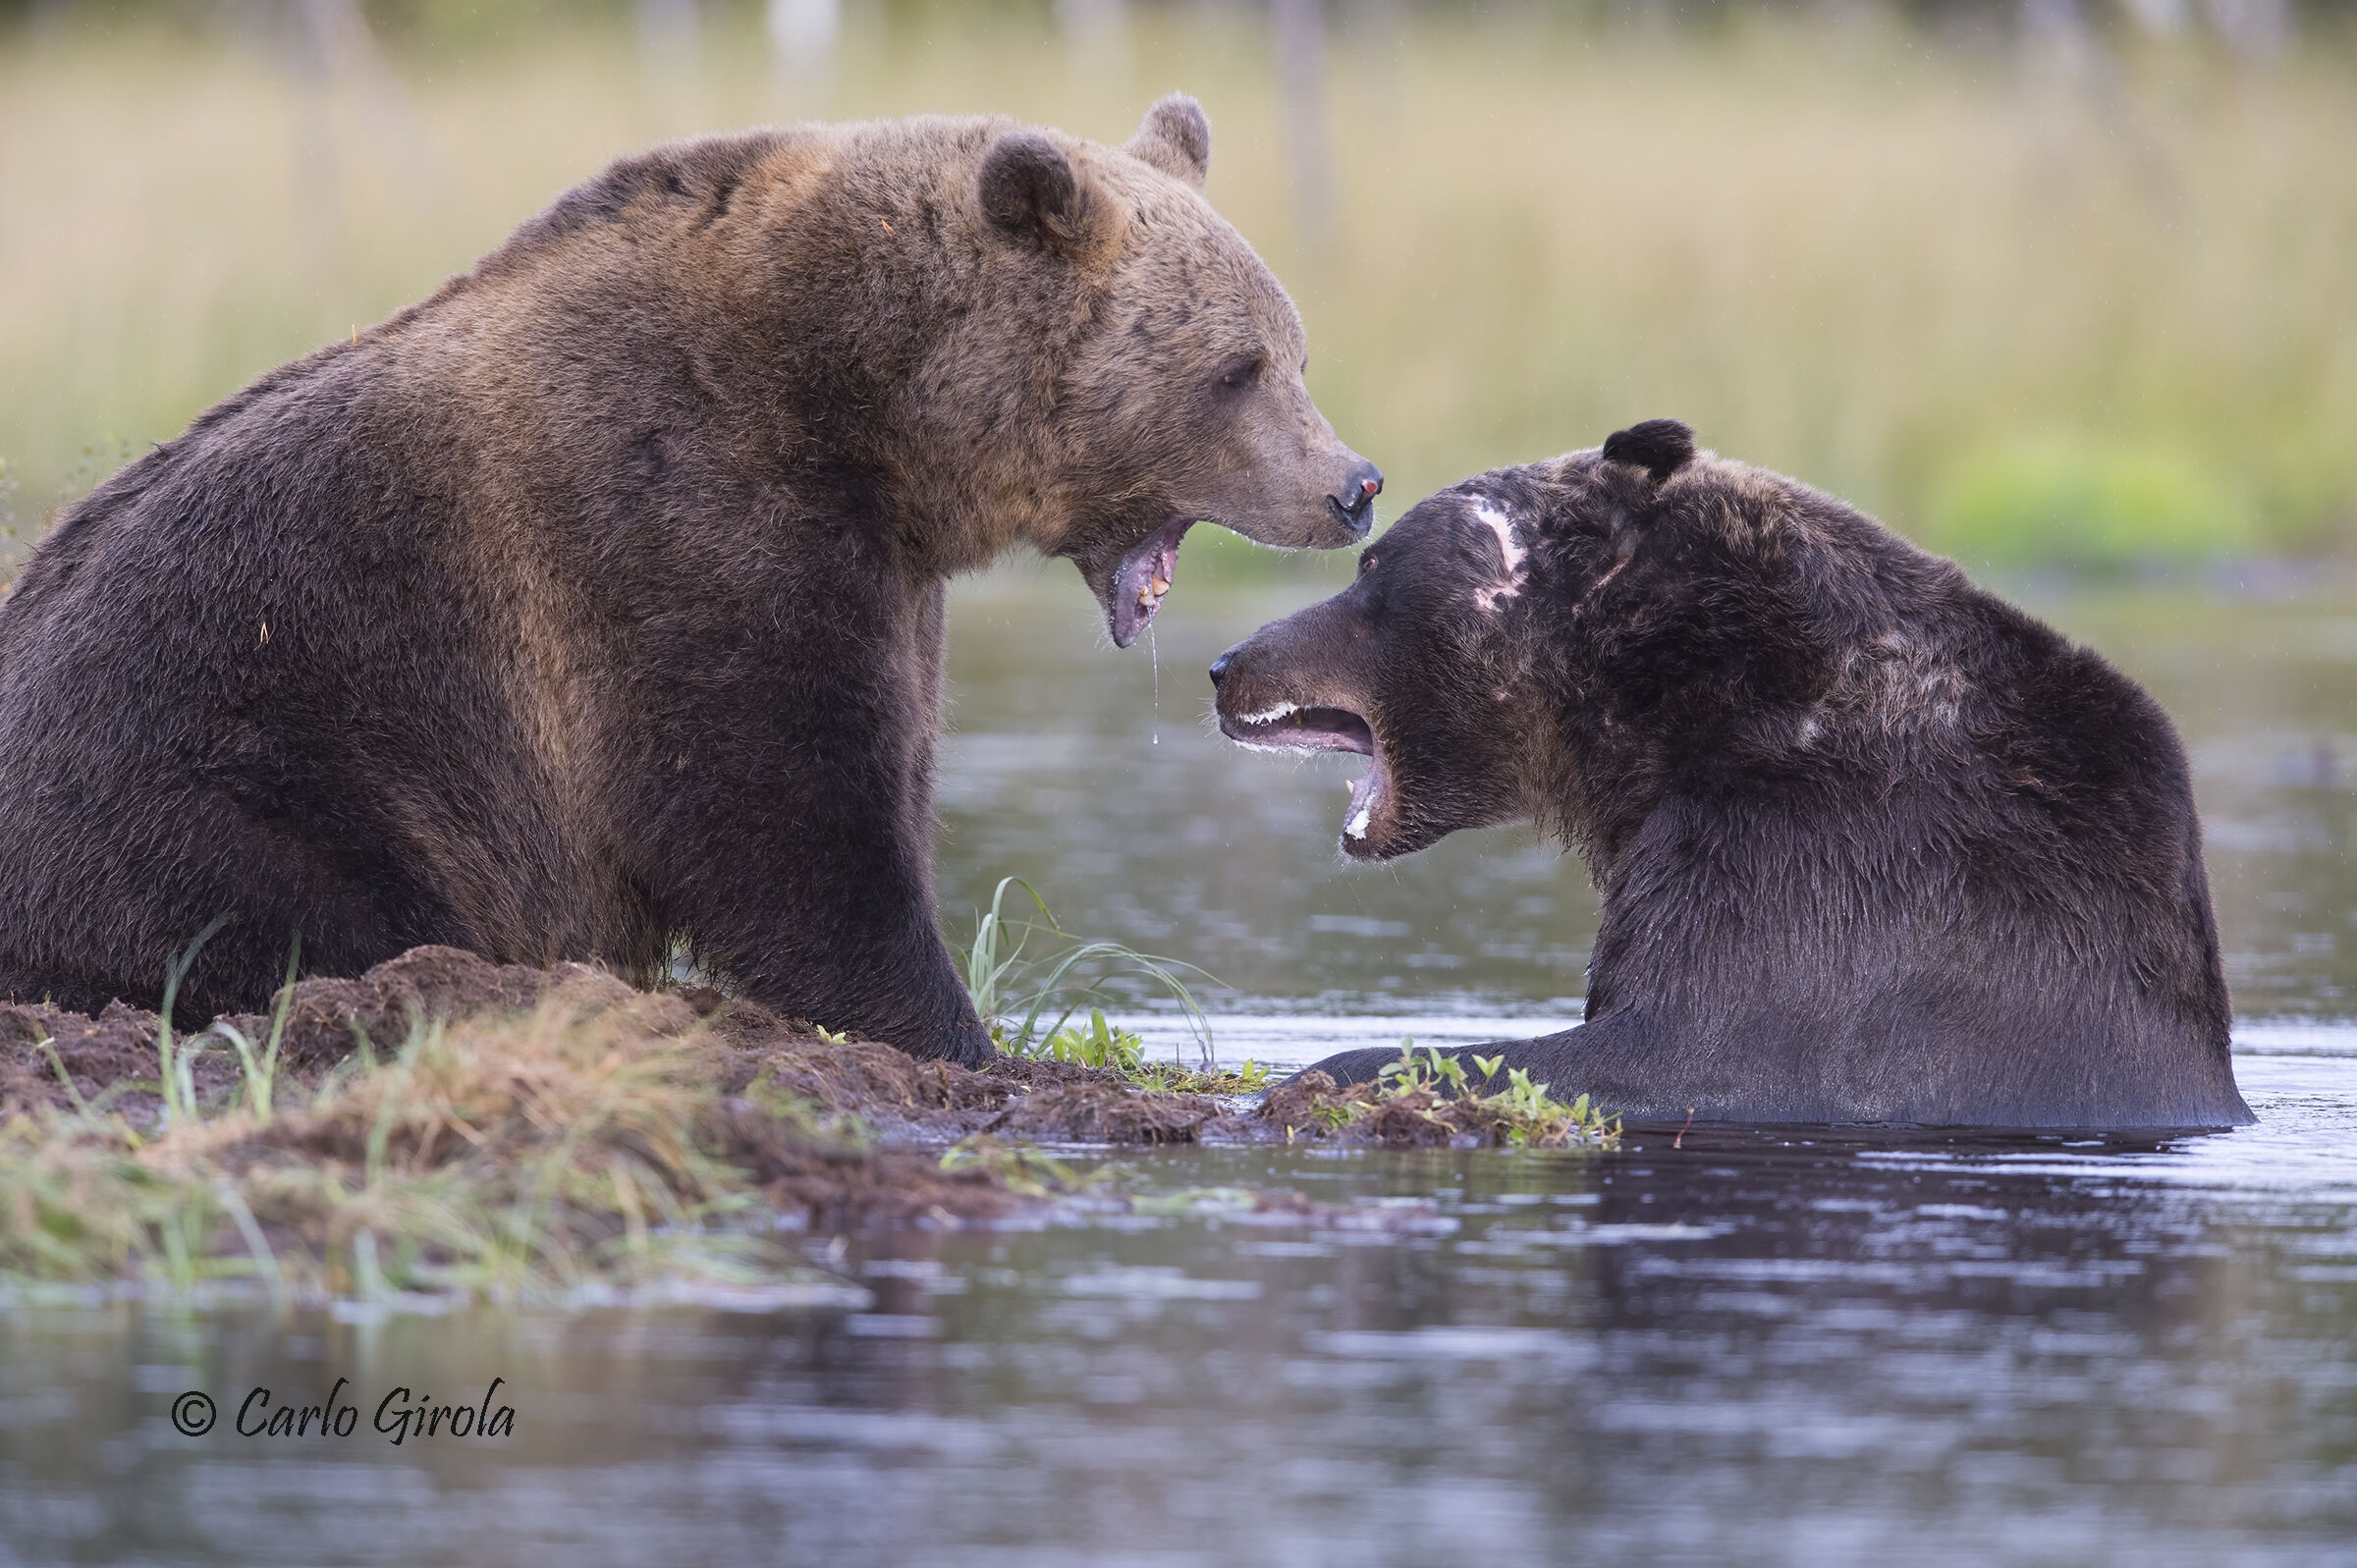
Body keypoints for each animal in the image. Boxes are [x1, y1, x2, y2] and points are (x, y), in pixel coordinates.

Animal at [0, 97, 1381, 1066]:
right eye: (1240, 365)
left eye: (1296, 348)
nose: (1353, 483)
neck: (873, 410)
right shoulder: (681, 515)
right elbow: (771, 810)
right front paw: (951, 1030)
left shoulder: (884, 573)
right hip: (233, 756)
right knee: (281, 907)